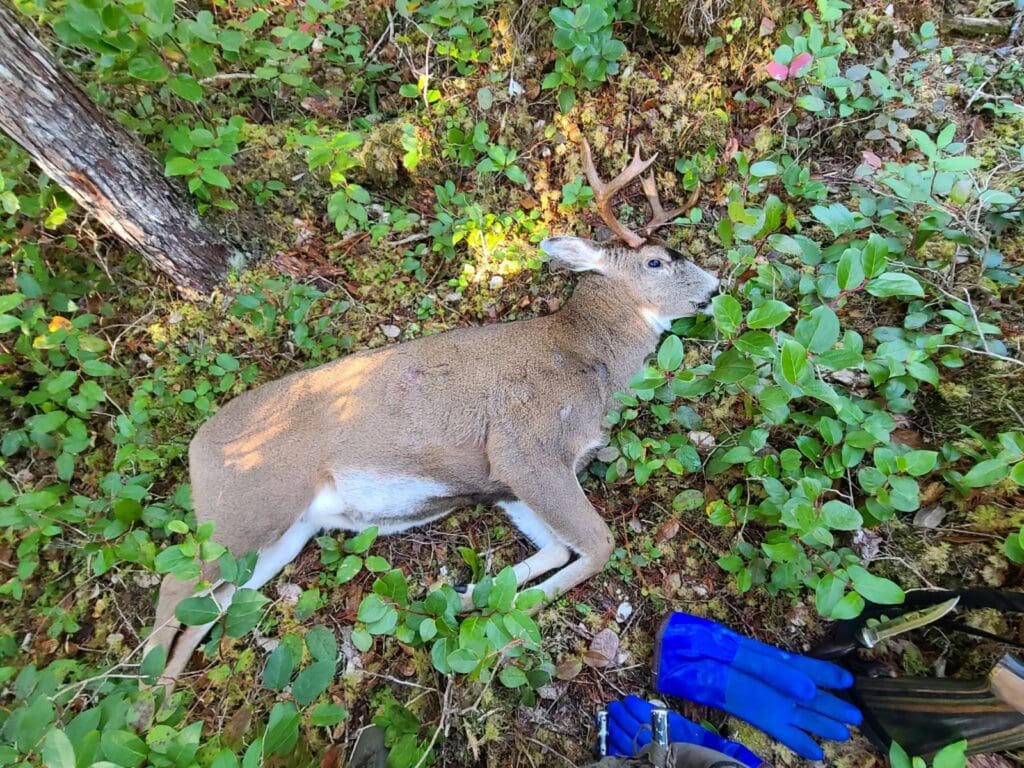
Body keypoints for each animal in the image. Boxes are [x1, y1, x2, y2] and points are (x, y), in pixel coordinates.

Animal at [146, 140, 720, 684]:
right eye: (656, 261)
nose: (717, 288)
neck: (585, 357)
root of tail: (195, 446)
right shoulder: (525, 448)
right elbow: (598, 545)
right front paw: (511, 618)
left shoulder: (505, 485)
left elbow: (558, 549)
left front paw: (469, 594)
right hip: (243, 510)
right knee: (171, 592)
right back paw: (146, 700)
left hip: (282, 536)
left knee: (206, 610)